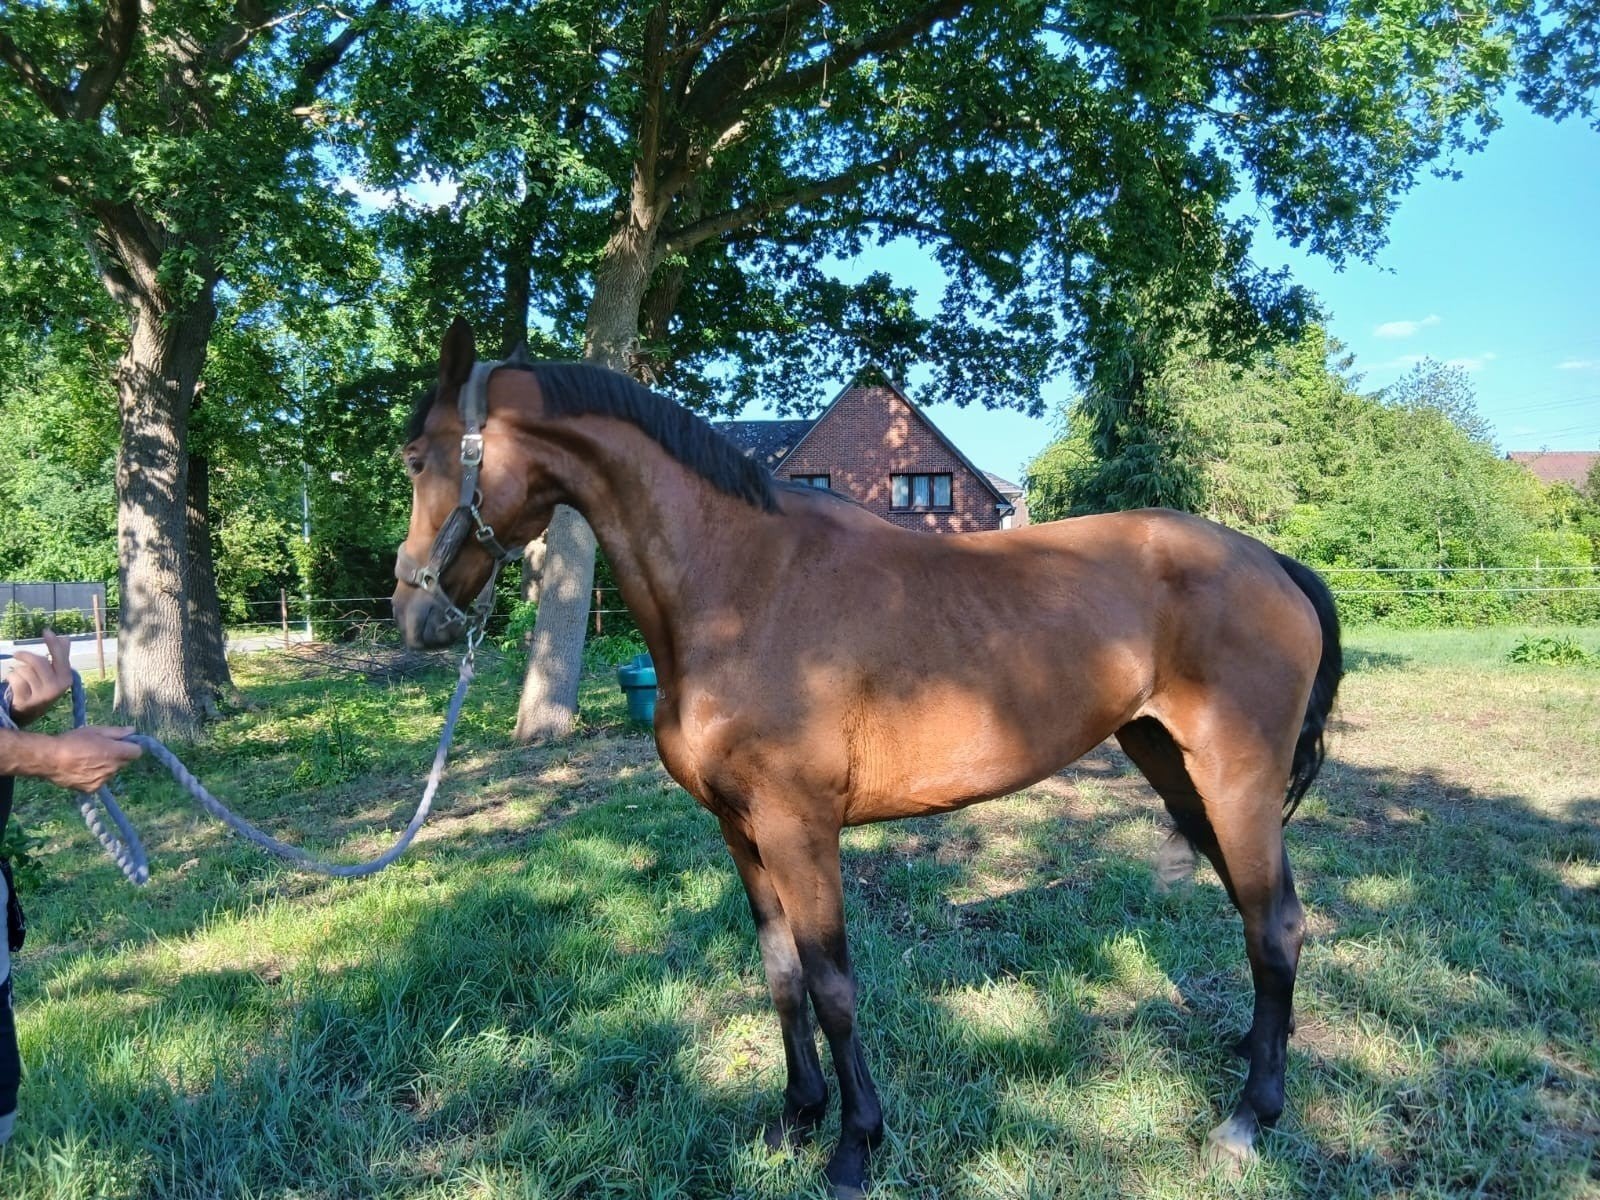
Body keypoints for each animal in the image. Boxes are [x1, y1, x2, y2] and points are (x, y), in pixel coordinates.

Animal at [392, 318, 1342, 1198]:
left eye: (414, 458)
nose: (415, 614)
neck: (743, 585)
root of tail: (1270, 562)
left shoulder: (800, 829)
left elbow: (832, 983)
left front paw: (854, 1145)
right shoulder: (740, 832)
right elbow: (781, 975)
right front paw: (795, 1117)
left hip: (1235, 781)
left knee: (1275, 925)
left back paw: (1248, 1117)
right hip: (1177, 773)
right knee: (1260, 914)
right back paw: (1254, 1056)